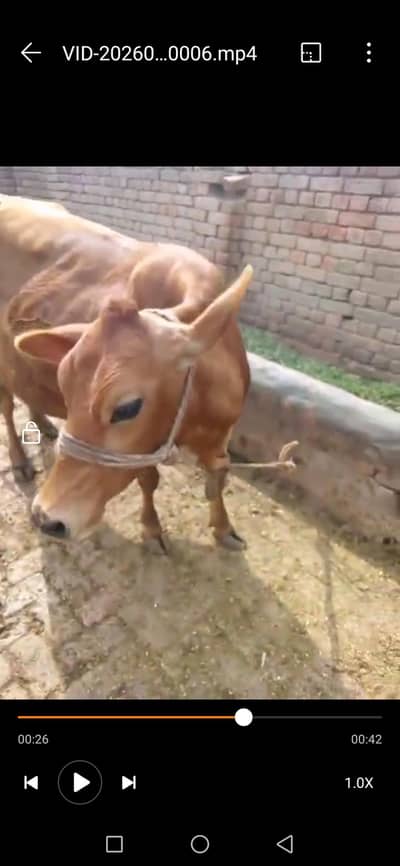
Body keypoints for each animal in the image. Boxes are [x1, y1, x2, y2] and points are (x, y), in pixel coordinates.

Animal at [0, 193, 253, 552]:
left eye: (127, 407)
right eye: (66, 389)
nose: (46, 518)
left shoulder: (221, 437)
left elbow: (217, 479)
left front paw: (224, 529)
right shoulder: (142, 451)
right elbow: (149, 480)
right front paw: (151, 529)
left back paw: (45, 424)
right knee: (7, 409)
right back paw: (20, 460)